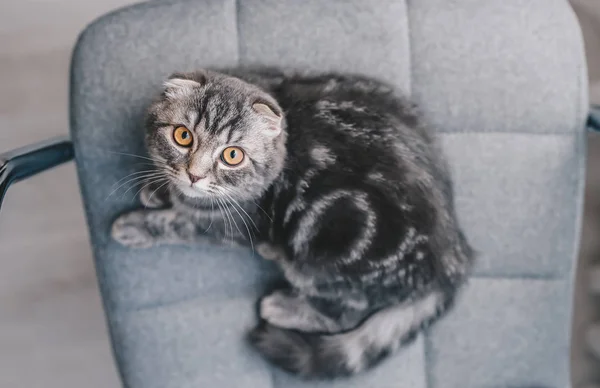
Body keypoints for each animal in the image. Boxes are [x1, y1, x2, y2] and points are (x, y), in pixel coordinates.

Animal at [112, 68, 476, 378]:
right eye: (183, 136)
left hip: (324, 255)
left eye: (233, 155)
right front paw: (158, 189)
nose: (195, 175)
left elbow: (180, 223)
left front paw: (136, 225)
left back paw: (281, 305)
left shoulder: (237, 224)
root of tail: (456, 261)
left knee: (345, 313)